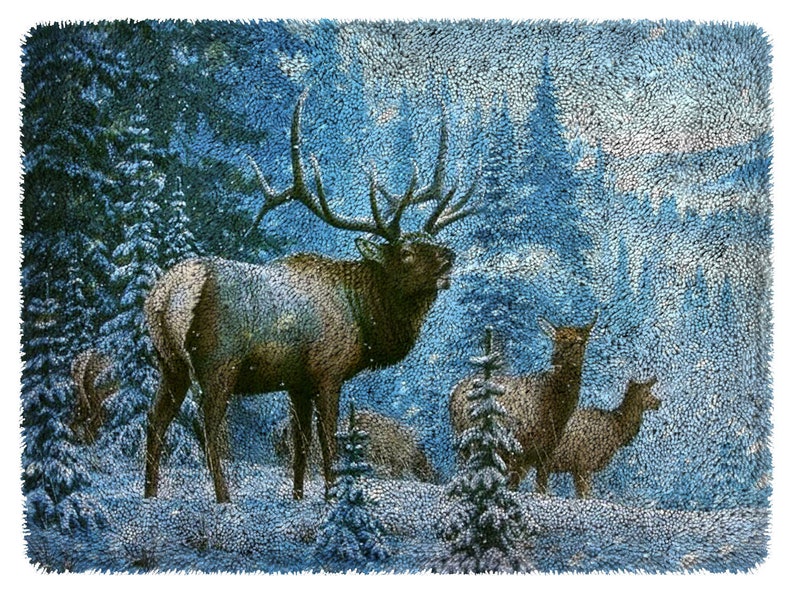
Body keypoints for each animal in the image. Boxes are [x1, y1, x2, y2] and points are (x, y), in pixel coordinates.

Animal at [144, 92, 478, 503]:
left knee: (154, 421)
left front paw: (300, 496)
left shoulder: (296, 381)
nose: (450, 256)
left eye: (430, 240)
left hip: (168, 363)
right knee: (209, 429)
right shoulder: (327, 371)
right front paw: (334, 495)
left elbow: (301, 445)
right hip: (217, 363)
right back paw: (224, 498)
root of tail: (167, 294)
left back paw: (149, 493)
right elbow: (328, 443)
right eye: (406, 253)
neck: (364, 321)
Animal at [449, 314, 597, 492]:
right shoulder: (518, 445)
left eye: (579, 342)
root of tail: (453, 392)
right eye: (555, 340)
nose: (556, 358)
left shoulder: (545, 453)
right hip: (468, 437)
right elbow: (514, 486)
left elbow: (541, 489)